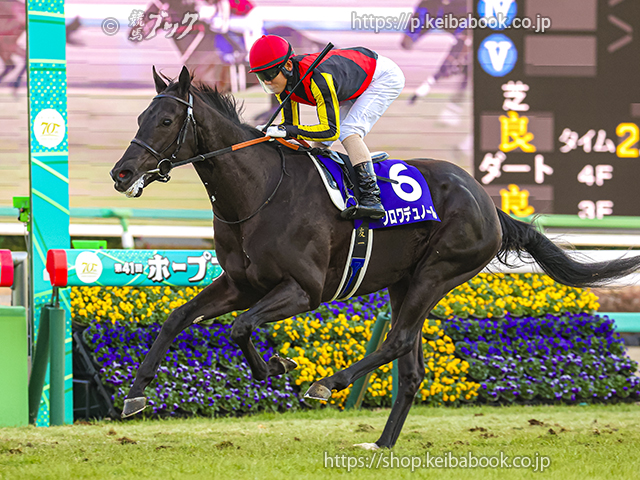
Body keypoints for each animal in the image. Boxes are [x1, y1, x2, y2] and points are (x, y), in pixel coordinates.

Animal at [110, 66, 640, 449]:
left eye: (166, 120)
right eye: (137, 119)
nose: (122, 173)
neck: (258, 192)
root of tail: (489, 203)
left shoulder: (304, 291)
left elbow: (240, 327)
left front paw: (277, 368)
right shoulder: (242, 285)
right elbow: (178, 317)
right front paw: (135, 395)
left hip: (439, 272)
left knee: (398, 341)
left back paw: (328, 384)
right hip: (404, 282)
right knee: (411, 368)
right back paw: (382, 444)